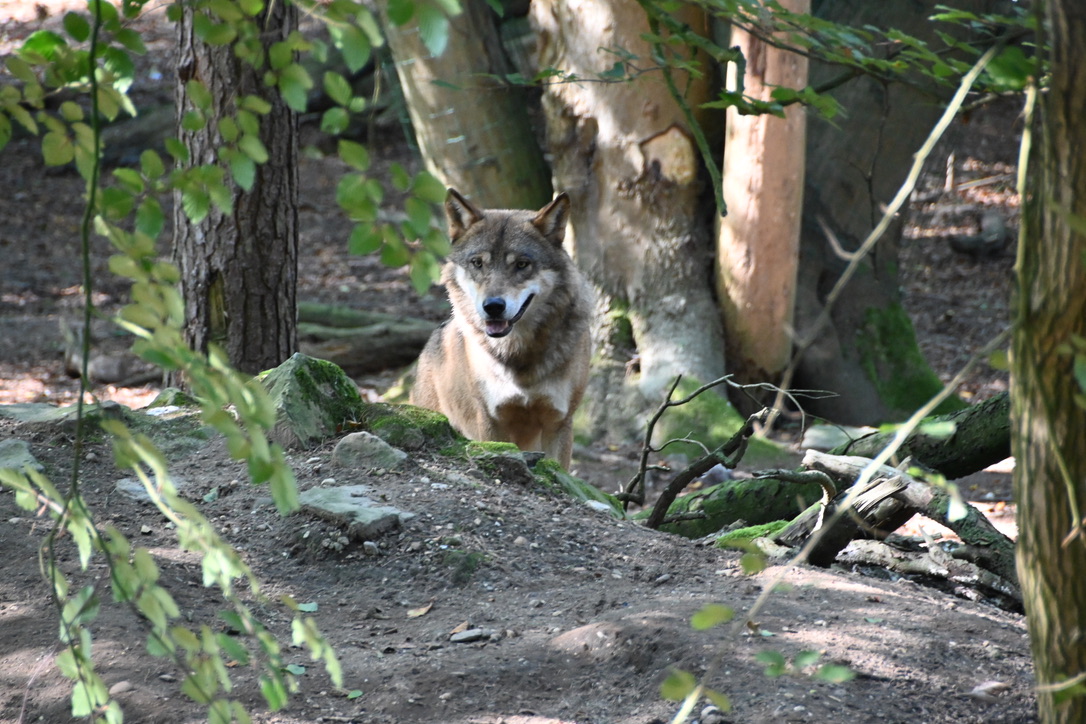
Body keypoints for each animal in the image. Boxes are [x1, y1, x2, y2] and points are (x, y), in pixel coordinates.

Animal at [410, 189, 593, 469]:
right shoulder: (490, 422)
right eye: (478, 263)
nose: (493, 306)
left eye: (521, 264)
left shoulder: (559, 422)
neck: (519, 356)